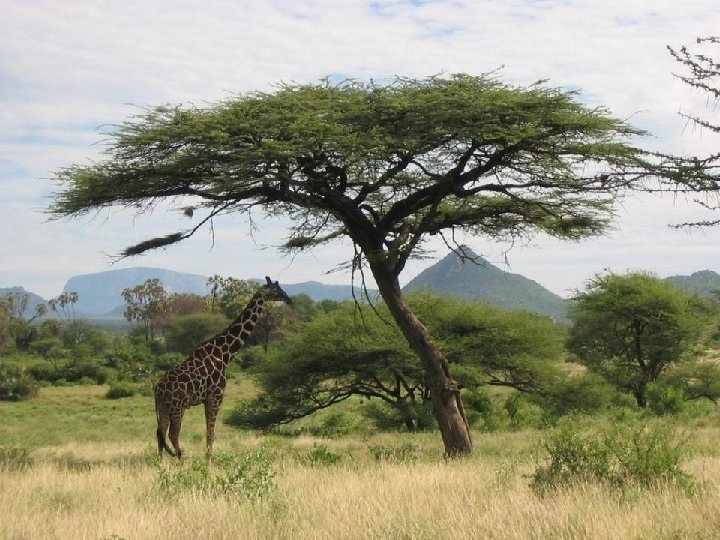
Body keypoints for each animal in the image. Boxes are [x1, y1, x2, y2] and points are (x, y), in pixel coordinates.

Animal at [155, 276, 292, 458]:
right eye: (277, 289)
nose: (289, 299)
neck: (224, 355)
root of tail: (157, 389)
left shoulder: (208, 398)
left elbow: (209, 434)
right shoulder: (216, 396)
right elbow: (210, 435)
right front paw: (209, 462)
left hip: (162, 407)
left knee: (160, 434)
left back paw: (161, 463)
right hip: (177, 406)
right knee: (172, 434)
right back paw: (180, 458)